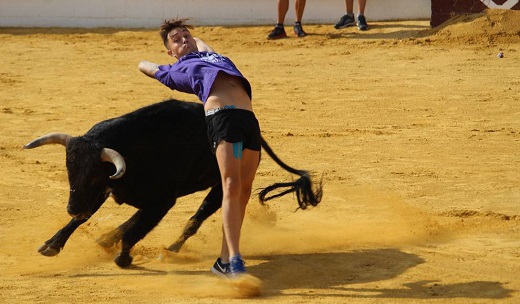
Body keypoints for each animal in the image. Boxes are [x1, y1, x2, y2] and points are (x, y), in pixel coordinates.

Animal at [26, 98, 322, 268]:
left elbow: (137, 229)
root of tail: (255, 132)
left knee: (194, 220)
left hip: (224, 186)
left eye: (94, 174)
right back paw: (106, 238)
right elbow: (87, 220)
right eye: (69, 170)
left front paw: (124, 258)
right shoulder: (103, 190)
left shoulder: (162, 200)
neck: (133, 149)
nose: (71, 207)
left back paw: (169, 251)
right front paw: (51, 245)